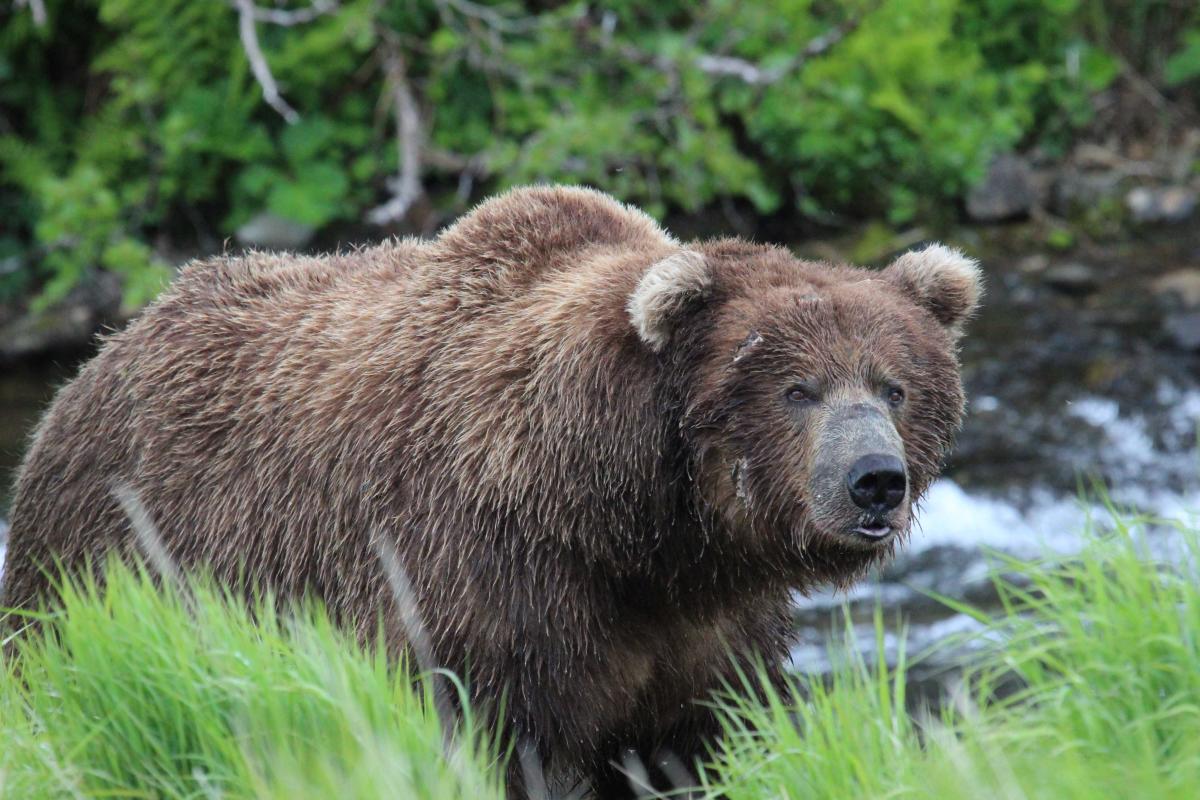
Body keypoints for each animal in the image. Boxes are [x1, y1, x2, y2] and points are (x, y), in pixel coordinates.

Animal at [3, 185, 981, 797]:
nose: (874, 481)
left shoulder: (705, 632)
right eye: (796, 389)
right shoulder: (476, 585)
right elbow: (490, 741)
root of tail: (94, 362)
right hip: (103, 559)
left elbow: (698, 740)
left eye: (895, 385)